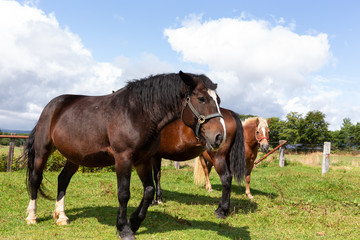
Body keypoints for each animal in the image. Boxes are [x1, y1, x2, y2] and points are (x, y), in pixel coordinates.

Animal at [20, 71, 225, 240]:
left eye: (219, 100)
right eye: (201, 98)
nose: (219, 136)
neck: (139, 113)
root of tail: (52, 106)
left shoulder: (143, 160)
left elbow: (149, 190)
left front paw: (134, 222)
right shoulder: (123, 159)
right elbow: (124, 193)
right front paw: (124, 229)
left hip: (74, 157)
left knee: (63, 180)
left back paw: (61, 217)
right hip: (42, 151)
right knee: (35, 180)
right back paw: (32, 216)